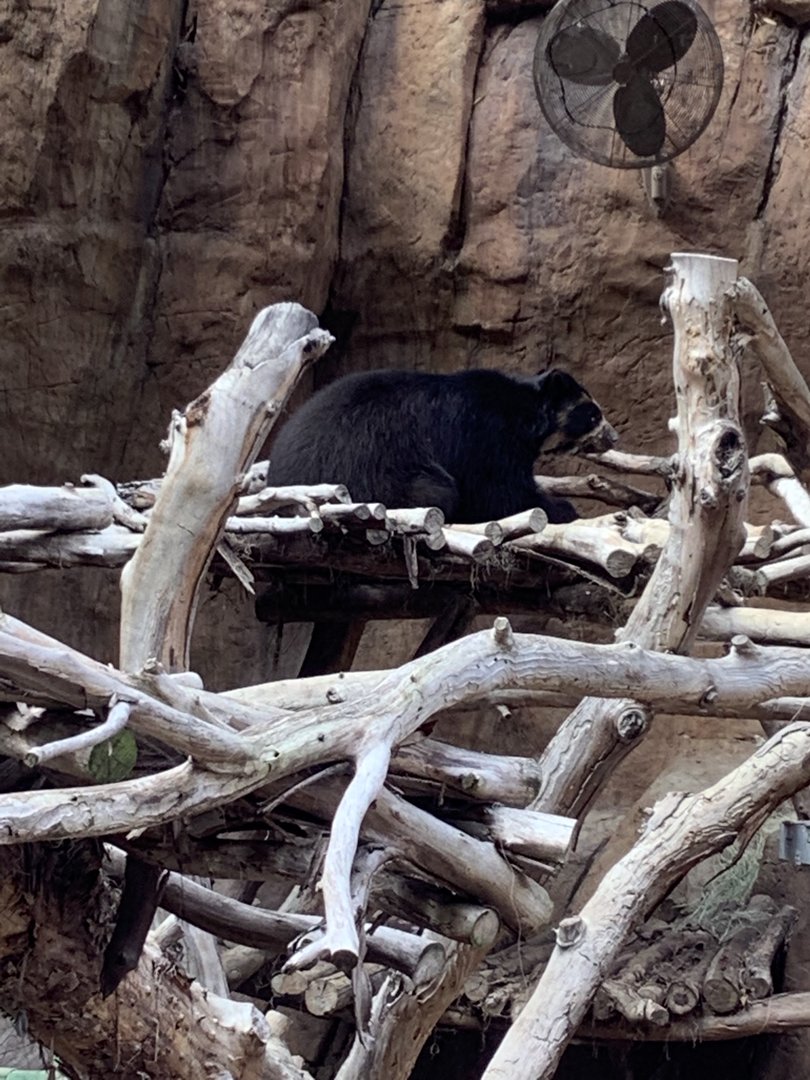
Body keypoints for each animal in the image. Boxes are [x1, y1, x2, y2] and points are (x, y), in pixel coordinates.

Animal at [265, 367, 617, 524]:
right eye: (592, 414)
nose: (613, 436)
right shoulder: (484, 434)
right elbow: (498, 489)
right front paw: (563, 508)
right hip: (381, 474)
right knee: (438, 490)